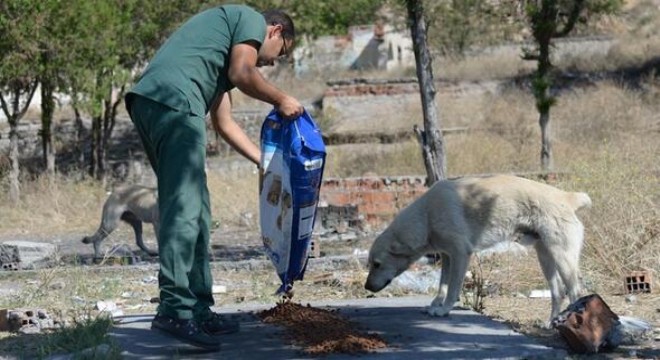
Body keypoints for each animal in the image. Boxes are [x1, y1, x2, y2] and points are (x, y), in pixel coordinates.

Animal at [366, 174, 592, 324]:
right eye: (370, 264)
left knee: (575, 291)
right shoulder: (447, 256)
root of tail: (568, 197)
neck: (426, 216)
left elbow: (452, 289)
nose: (367, 288)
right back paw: (550, 324)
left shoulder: (460, 254)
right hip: (545, 257)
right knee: (558, 292)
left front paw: (444, 310)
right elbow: (442, 286)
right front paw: (434, 306)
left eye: (377, 264)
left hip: (562, 257)